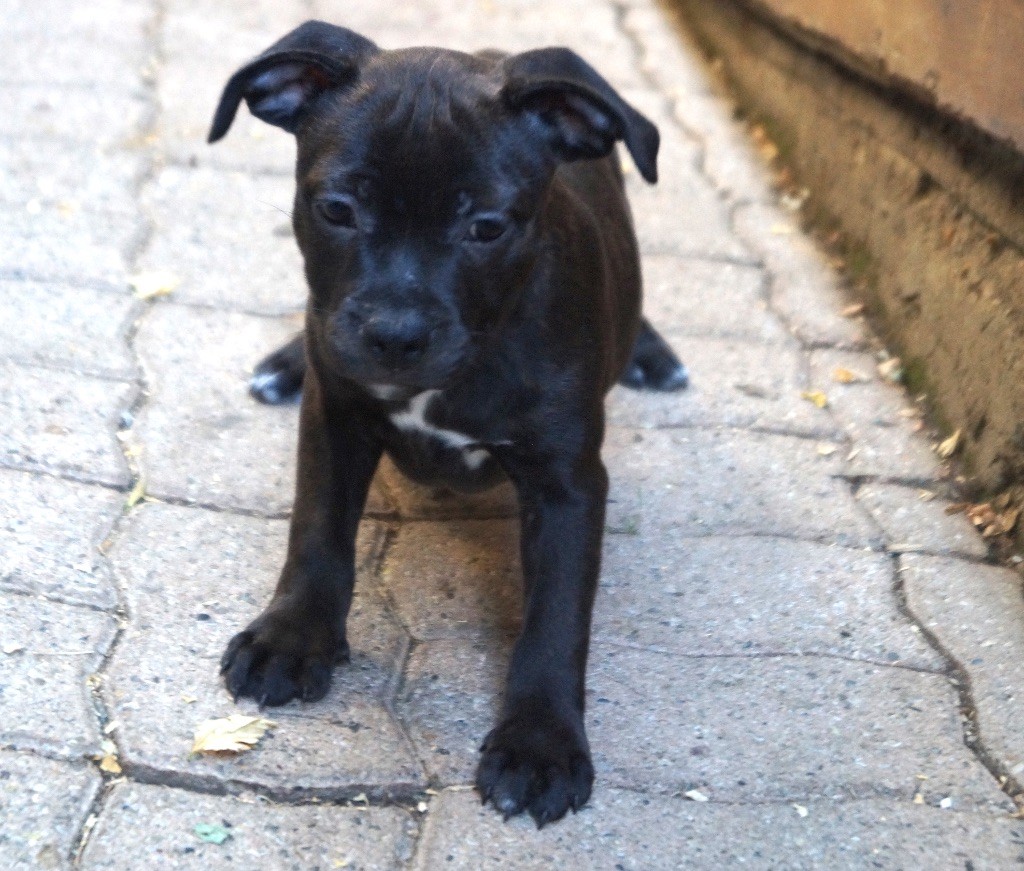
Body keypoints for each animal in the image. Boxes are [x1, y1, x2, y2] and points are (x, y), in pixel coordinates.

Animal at [209, 21, 688, 827]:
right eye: (337, 210)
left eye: (485, 227)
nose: (395, 334)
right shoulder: (336, 419)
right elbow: (316, 533)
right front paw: (292, 637)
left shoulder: (568, 484)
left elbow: (556, 618)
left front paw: (539, 744)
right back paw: (285, 359)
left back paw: (652, 353)